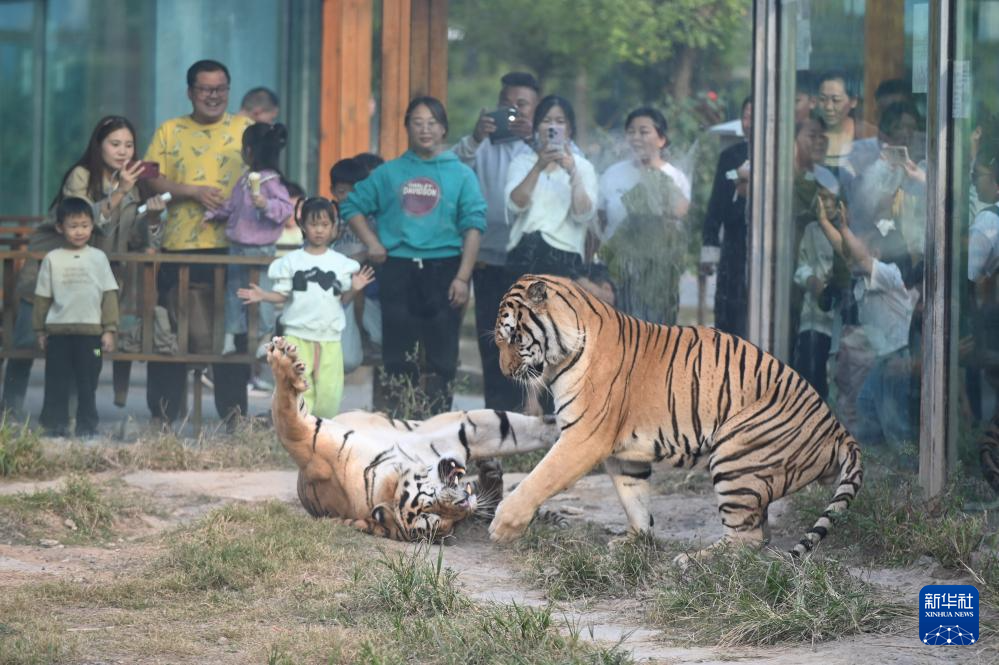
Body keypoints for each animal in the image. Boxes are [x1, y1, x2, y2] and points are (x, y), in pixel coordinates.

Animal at [268, 338, 564, 540]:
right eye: (435, 518)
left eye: (429, 508)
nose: (464, 506)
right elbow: (289, 423)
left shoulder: (456, 429)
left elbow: (518, 430)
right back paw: (491, 471)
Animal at [488, 274, 864, 560]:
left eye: (514, 337)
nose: (504, 372)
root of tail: (838, 429)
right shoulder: (623, 455)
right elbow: (634, 499)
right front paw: (636, 540)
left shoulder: (583, 438)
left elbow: (539, 478)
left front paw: (503, 524)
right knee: (759, 532)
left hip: (735, 455)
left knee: (748, 538)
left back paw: (692, 561)